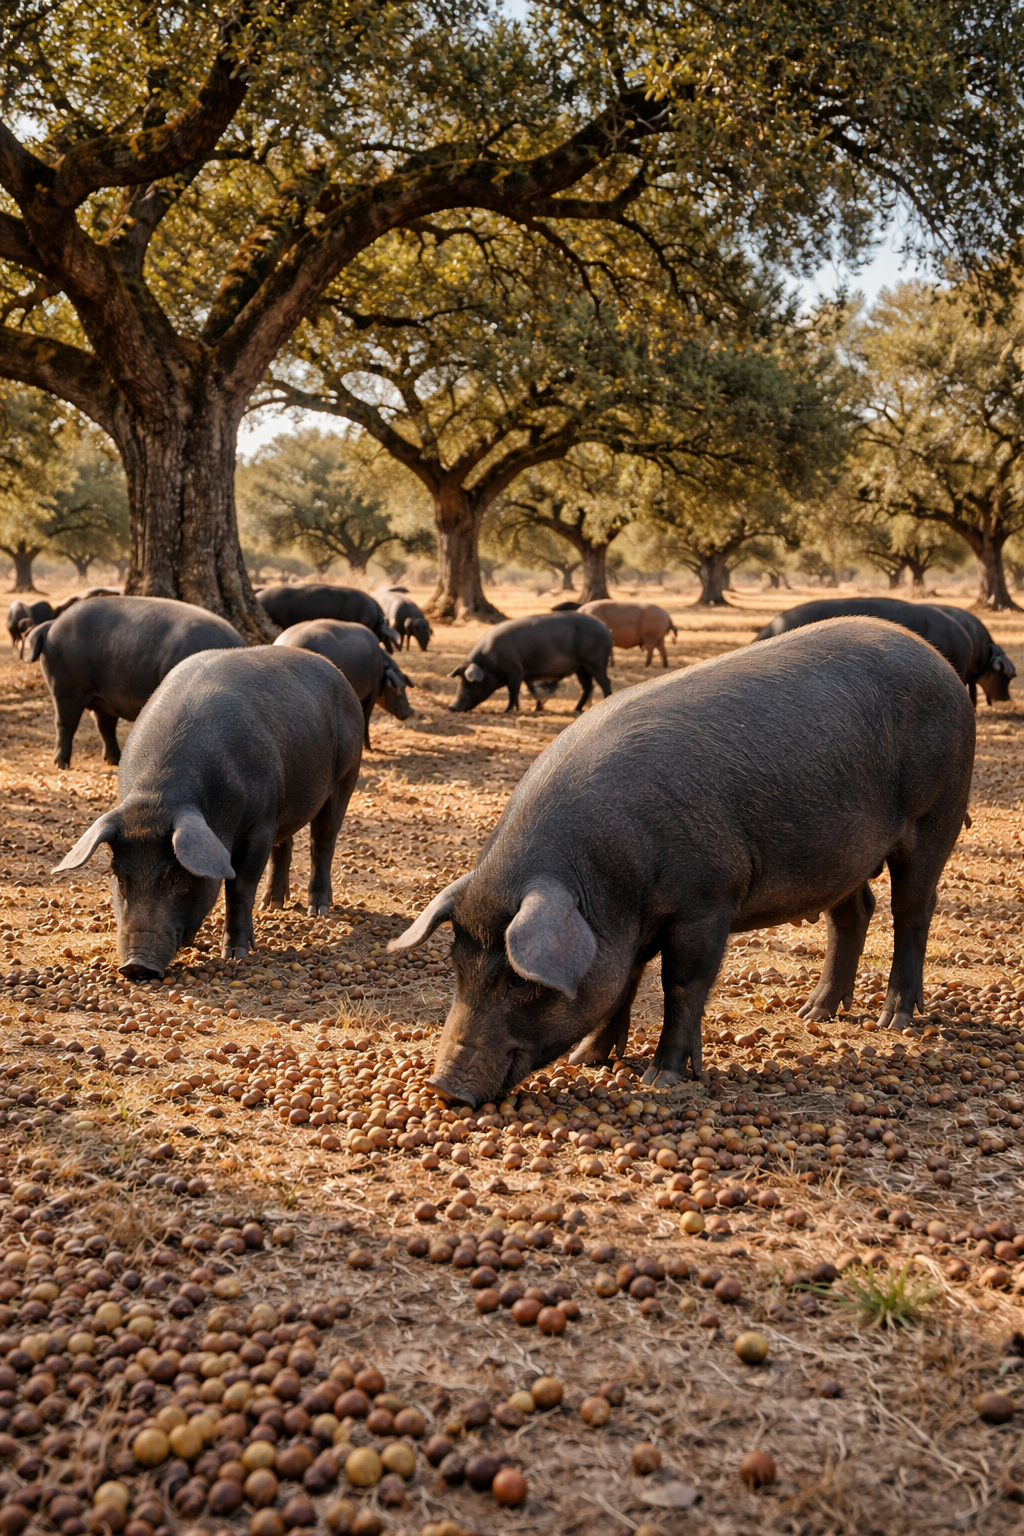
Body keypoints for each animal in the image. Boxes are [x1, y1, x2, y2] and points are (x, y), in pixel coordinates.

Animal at [27, 596, 245, 768]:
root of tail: (52, 624)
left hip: (104, 695)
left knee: (104, 725)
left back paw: (114, 761)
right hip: (66, 688)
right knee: (65, 723)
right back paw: (62, 765)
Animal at [52, 647, 364, 978]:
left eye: (177, 876)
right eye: (120, 877)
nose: (137, 966)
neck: (157, 798)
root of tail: (336, 673)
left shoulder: (260, 823)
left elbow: (240, 885)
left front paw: (236, 954)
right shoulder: (267, 819)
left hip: (346, 774)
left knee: (323, 841)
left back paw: (317, 910)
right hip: (287, 803)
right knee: (286, 844)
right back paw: (271, 906)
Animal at [274, 618, 414, 747]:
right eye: (401, 687)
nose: (410, 711)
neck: (383, 668)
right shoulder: (372, 693)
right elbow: (366, 717)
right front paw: (369, 748)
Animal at [448, 613, 613, 713]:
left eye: (468, 683)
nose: (451, 707)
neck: (490, 662)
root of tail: (606, 629)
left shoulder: (515, 672)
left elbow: (513, 691)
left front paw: (507, 711)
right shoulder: (524, 673)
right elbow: (530, 689)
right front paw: (534, 708)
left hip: (596, 662)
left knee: (605, 681)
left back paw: (604, 701)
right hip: (582, 668)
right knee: (588, 686)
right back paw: (576, 709)